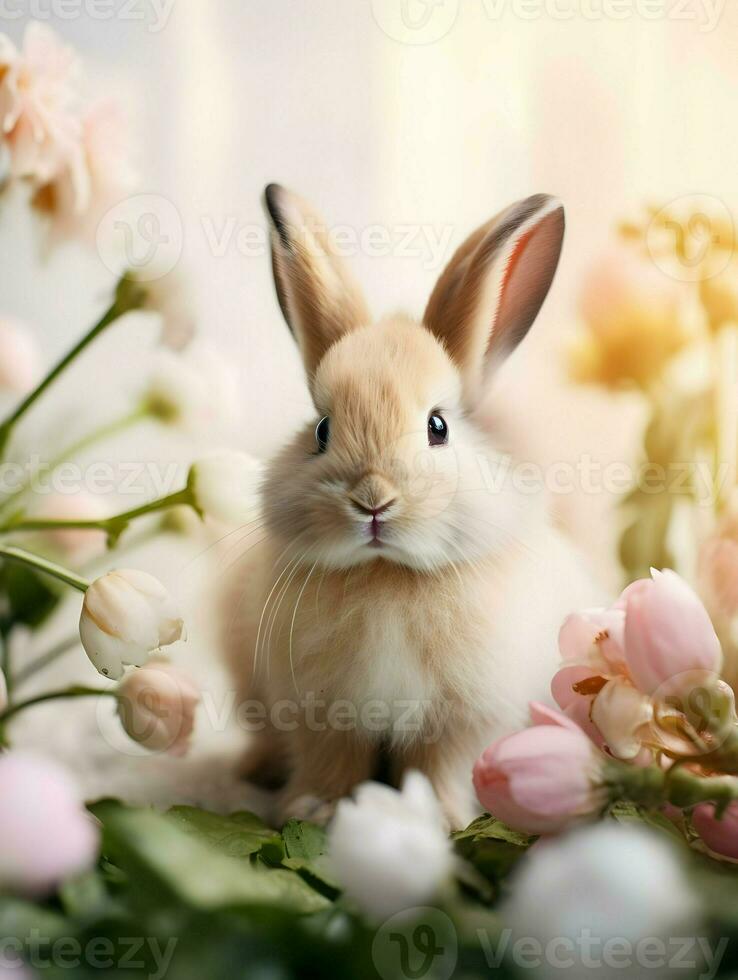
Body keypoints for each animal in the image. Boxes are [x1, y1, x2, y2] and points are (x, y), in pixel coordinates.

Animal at [227, 184, 600, 828]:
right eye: (321, 431)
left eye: (438, 427)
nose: (373, 501)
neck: (387, 577)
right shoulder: (321, 713)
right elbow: (332, 763)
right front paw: (316, 811)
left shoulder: (462, 719)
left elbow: (439, 768)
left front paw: (442, 819)